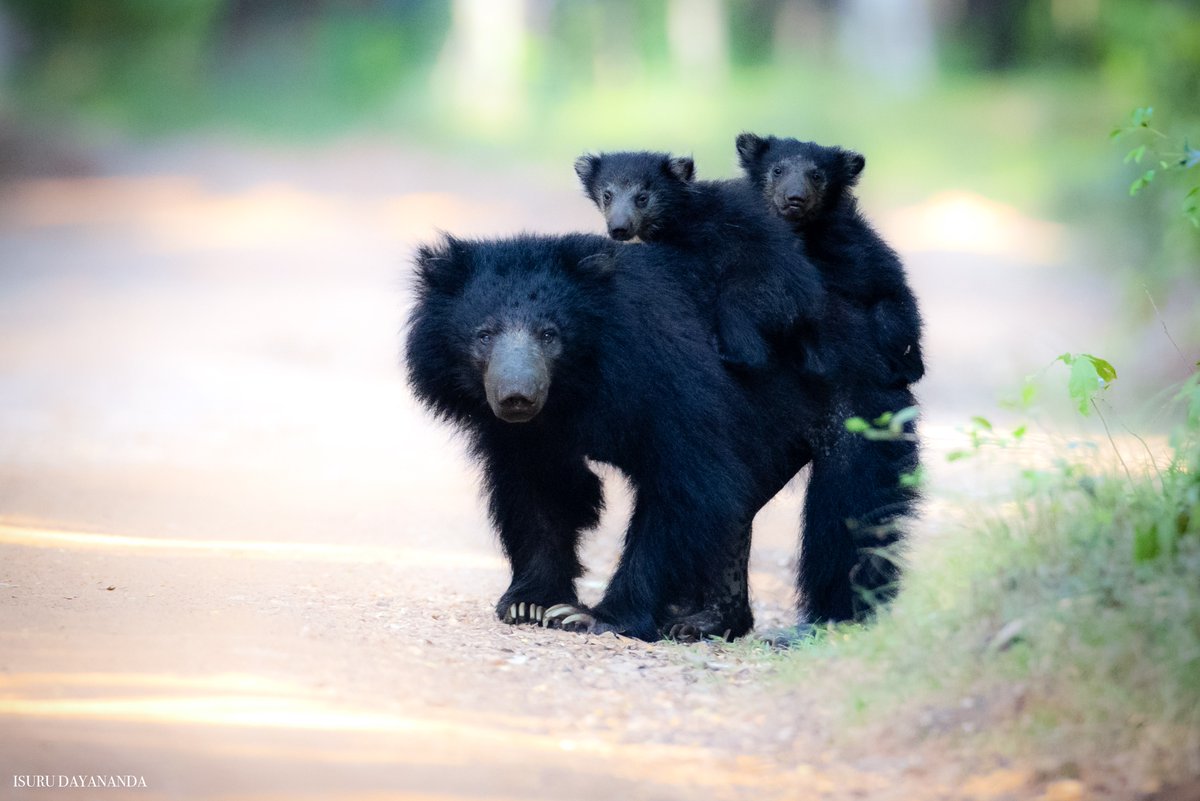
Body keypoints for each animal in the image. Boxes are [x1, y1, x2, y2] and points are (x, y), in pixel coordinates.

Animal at [405, 230, 916, 637]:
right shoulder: (527, 436)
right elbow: (539, 494)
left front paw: (592, 617)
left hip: (855, 401)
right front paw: (529, 603)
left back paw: (828, 623)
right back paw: (705, 621)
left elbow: (687, 488)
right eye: (484, 335)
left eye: (549, 335)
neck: (578, 386)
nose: (516, 396)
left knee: (849, 509)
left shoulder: (668, 381)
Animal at [573, 149, 825, 371]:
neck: (675, 211)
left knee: (738, 315)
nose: (619, 229)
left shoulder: (702, 238)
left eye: (642, 198)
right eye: (607, 195)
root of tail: (806, 306)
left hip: (761, 283)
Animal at [734, 133, 921, 388]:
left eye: (816, 175)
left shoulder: (848, 244)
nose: (795, 199)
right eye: (777, 170)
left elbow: (859, 277)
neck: (800, 230)